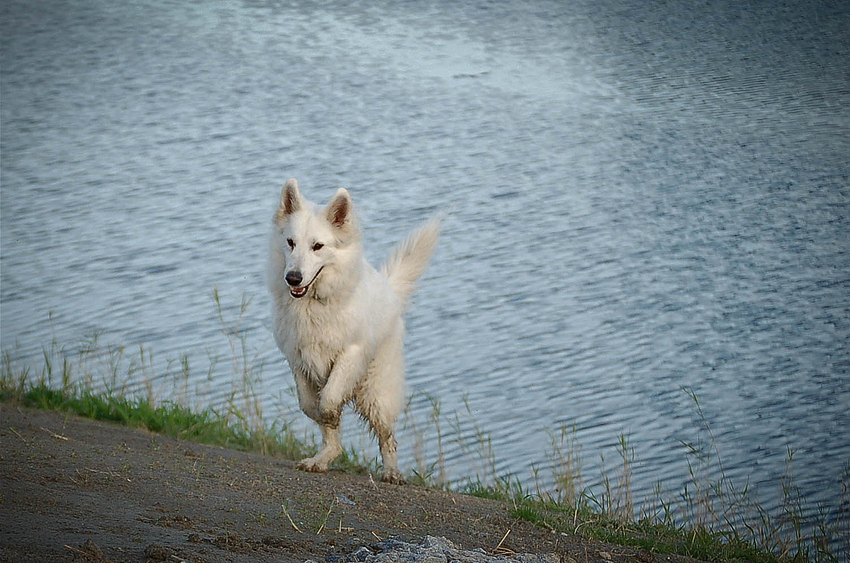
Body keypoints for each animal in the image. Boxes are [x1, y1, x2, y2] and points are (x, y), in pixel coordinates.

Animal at [266, 181, 440, 484]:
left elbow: (329, 400)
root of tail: (390, 290)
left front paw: (331, 414)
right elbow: (310, 406)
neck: (316, 302)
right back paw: (323, 459)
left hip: (376, 393)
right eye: (290, 243)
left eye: (317, 246)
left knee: (387, 436)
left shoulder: (351, 354)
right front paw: (328, 430)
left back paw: (392, 472)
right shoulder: (298, 359)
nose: (293, 278)